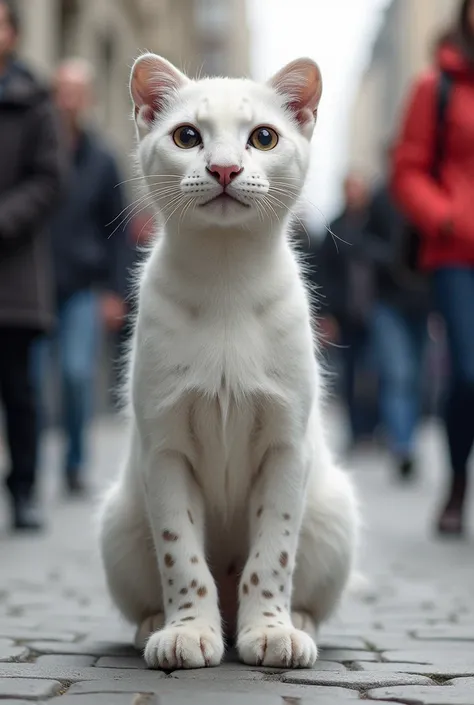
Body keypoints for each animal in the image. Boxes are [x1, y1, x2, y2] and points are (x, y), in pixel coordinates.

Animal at [100, 52, 360, 668]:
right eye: (187, 136)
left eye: (263, 137)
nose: (223, 169)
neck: (224, 280)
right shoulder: (164, 447)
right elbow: (181, 555)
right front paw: (188, 630)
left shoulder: (286, 445)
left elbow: (274, 555)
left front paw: (271, 629)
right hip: (117, 525)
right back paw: (154, 623)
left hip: (335, 514)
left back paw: (300, 619)